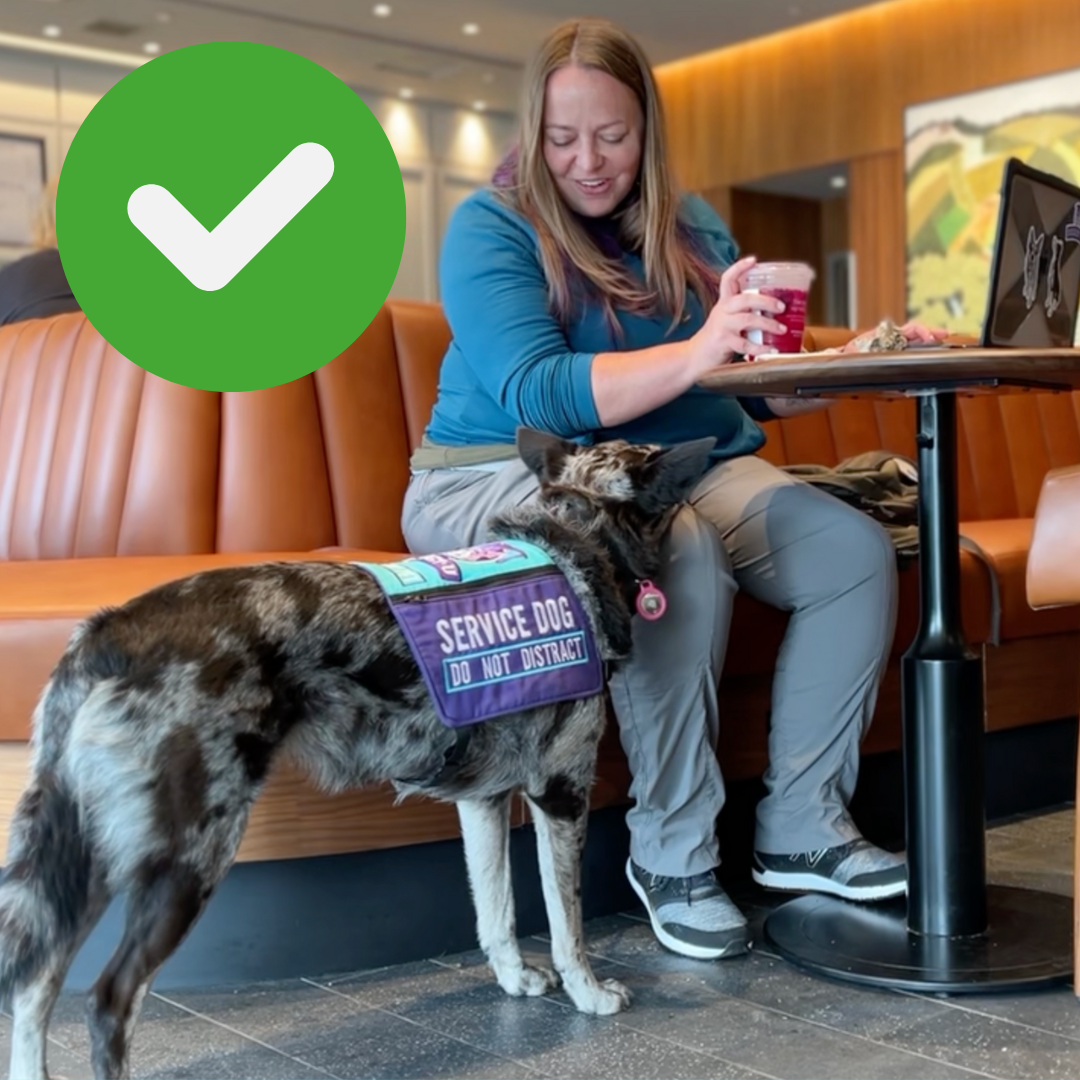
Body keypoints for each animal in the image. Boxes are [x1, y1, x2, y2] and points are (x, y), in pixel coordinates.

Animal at [0, 425, 717, 1075]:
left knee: (34, 985)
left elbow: (497, 910)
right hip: (186, 859)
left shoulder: (484, 803)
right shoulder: (561, 795)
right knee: (108, 1001)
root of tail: (110, 631)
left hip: (87, 855)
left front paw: (514, 979)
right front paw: (588, 993)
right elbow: (567, 922)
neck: (575, 535)